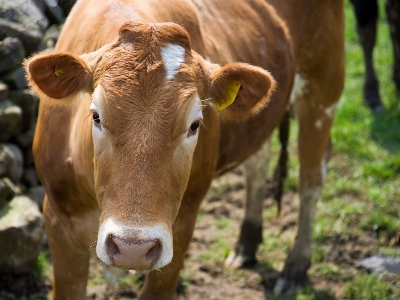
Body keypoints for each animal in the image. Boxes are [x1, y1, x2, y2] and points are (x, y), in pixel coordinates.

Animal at [25, 1, 344, 298]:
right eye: (95, 116)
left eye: (194, 125)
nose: (132, 248)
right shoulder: (58, 220)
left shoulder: (183, 225)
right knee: (257, 164)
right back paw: (247, 243)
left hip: (322, 89)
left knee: (310, 181)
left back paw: (295, 268)